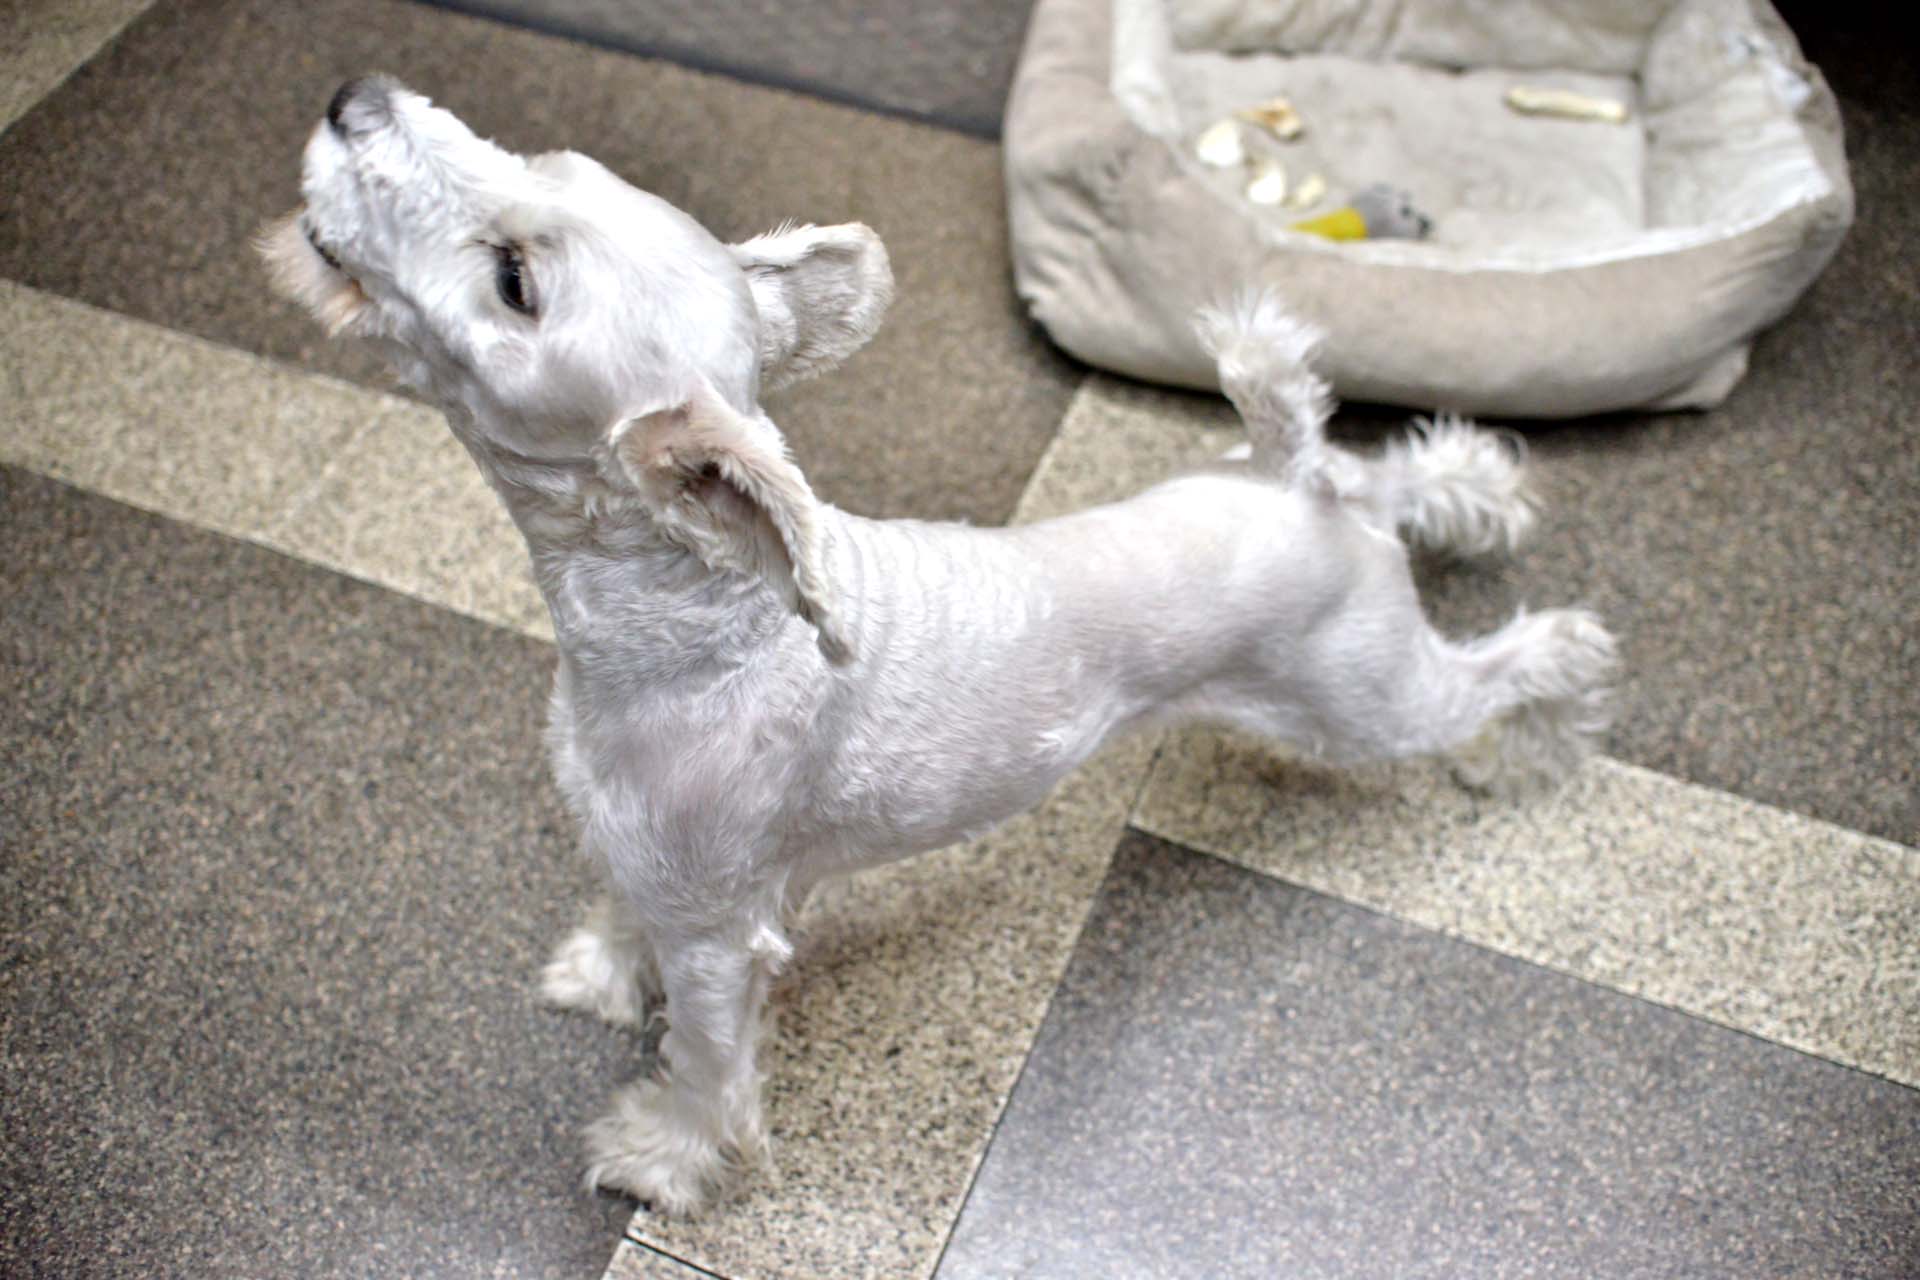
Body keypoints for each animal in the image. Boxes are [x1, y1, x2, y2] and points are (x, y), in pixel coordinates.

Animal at [260, 76, 1615, 1214]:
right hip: (1314, 510)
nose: (352, 98)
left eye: (514, 281)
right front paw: (600, 964)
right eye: (540, 163)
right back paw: (1476, 486)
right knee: (1380, 470)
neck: (699, 620)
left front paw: (663, 1155)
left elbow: (705, 1062)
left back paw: (1529, 743)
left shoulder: (718, 935)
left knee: (1541, 649)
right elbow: (622, 908)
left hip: (1365, 700)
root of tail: (1288, 489)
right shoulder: (654, 856)